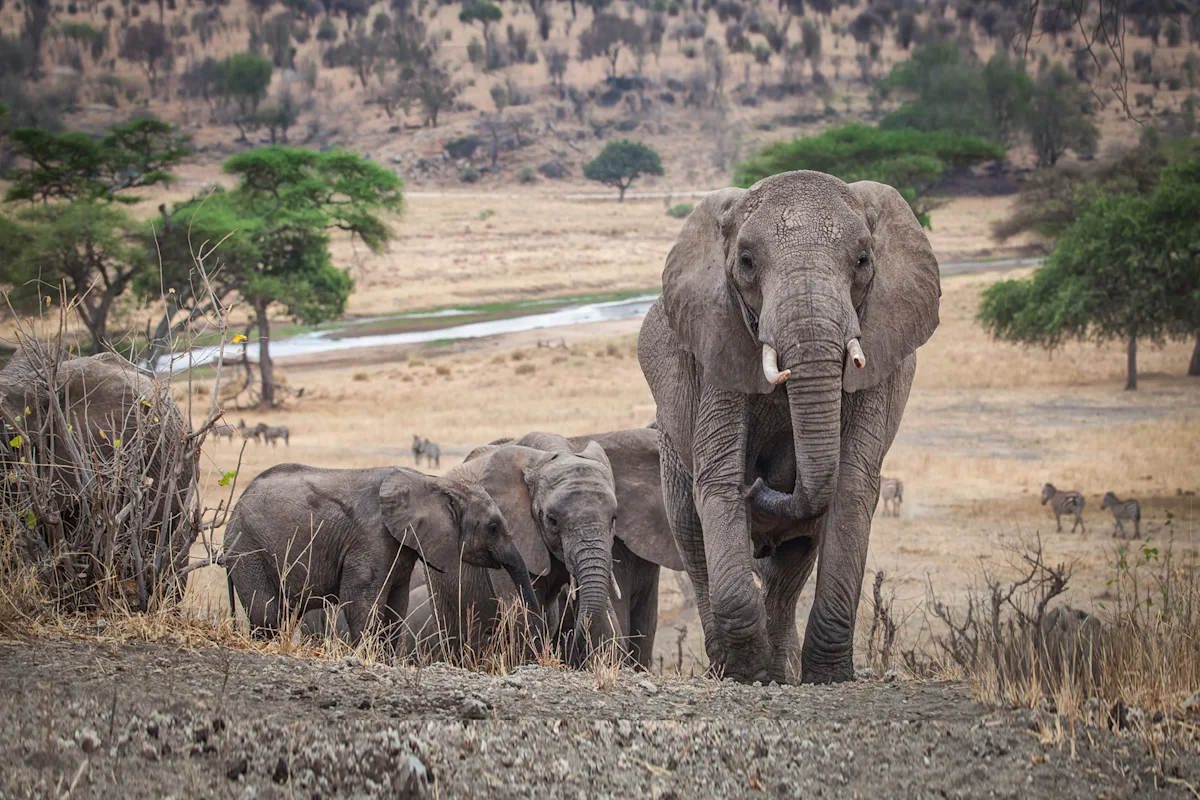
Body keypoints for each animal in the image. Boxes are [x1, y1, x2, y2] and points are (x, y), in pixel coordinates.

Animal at [222, 463, 541, 646]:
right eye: (493, 527)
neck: (431, 483)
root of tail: (234, 509)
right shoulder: (372, 537)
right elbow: (361, 601)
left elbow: (395, 607)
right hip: (248, 548)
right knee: (266, 612)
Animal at [416, 429, 684, 669]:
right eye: (552, 520)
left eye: (614, 518)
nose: (573, 646)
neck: (556, 453)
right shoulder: (506, 529)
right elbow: (521, 614)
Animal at [637, 171, 941, 684]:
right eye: (746, 262)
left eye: (863, 260)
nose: (762, 483)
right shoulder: (719, 345)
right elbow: (718, 482)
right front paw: (749, 675)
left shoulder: (879, 354)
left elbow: (852, 486)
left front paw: (829, 677)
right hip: (671, 443)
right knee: (692, 538)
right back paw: (728, 667)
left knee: (790, 567)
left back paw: (783, 670)